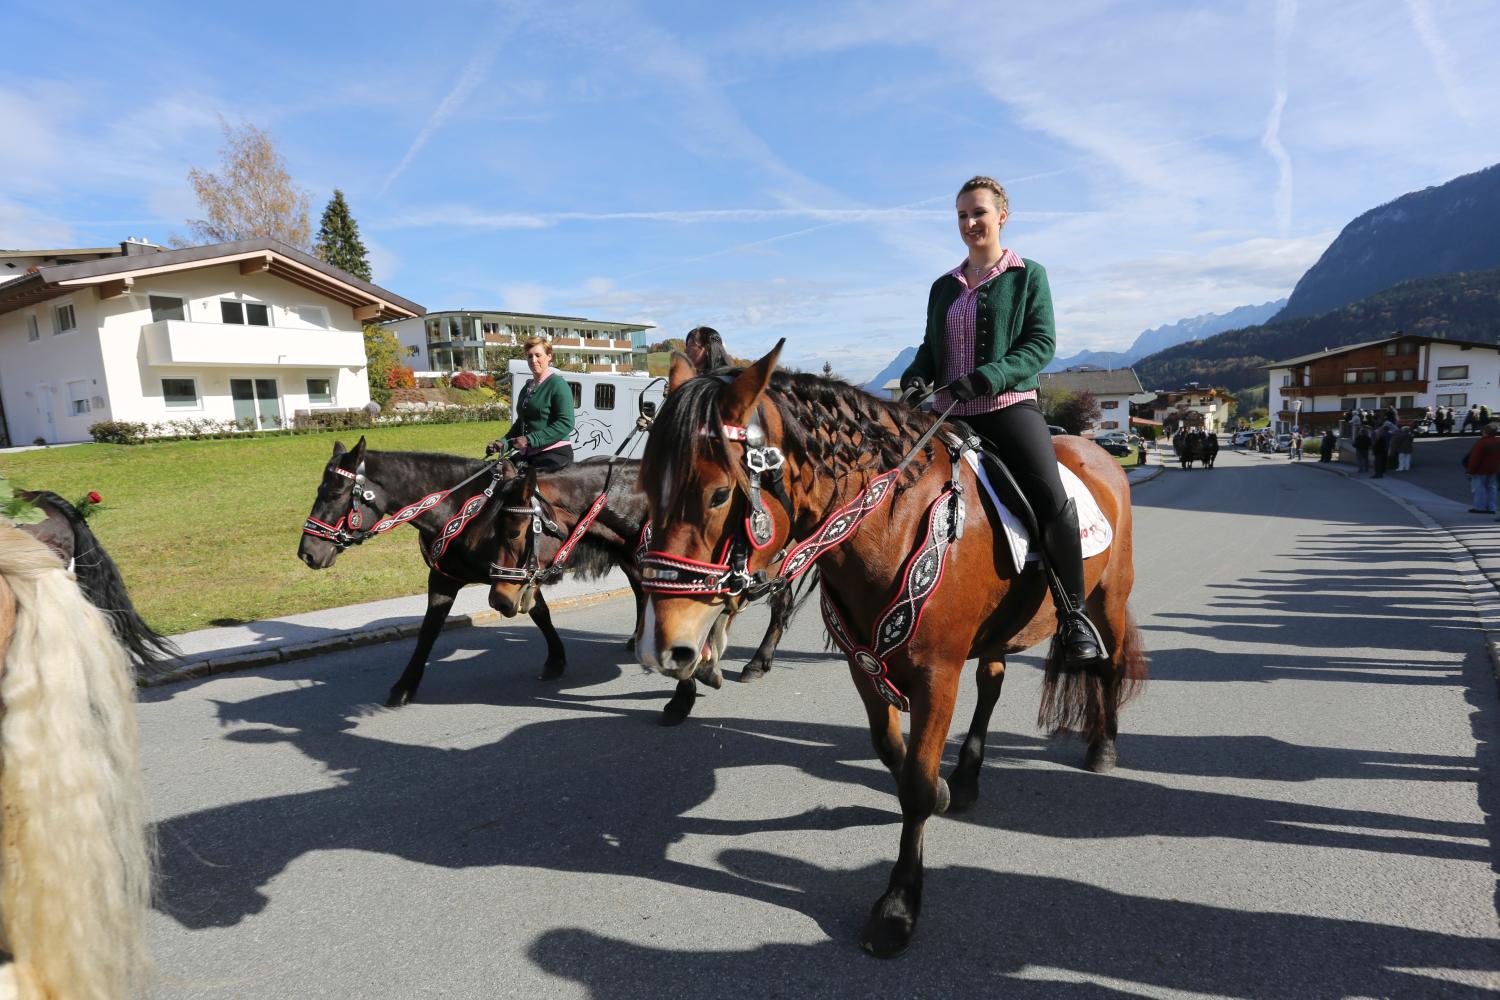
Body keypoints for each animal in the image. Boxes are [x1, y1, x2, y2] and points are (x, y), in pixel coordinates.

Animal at [488, 459, 806, 724]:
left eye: (515, 532)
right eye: (492, 529)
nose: (499, 599)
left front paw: (681, 700)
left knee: (779, 605)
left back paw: (756, 662)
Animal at [636, 345, 1146, 957]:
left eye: (717, 494)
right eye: (644, 486)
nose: (661, 646)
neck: (893, 524)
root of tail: (1099, 453)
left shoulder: (936, 675)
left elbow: (917, 789)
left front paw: (899, 906)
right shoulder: (864, 666)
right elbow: (894, 754)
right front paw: (946, 791)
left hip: (1108, 599)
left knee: (1107, 665)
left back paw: (1103, 747)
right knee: (993, 681)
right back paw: (968, 777)